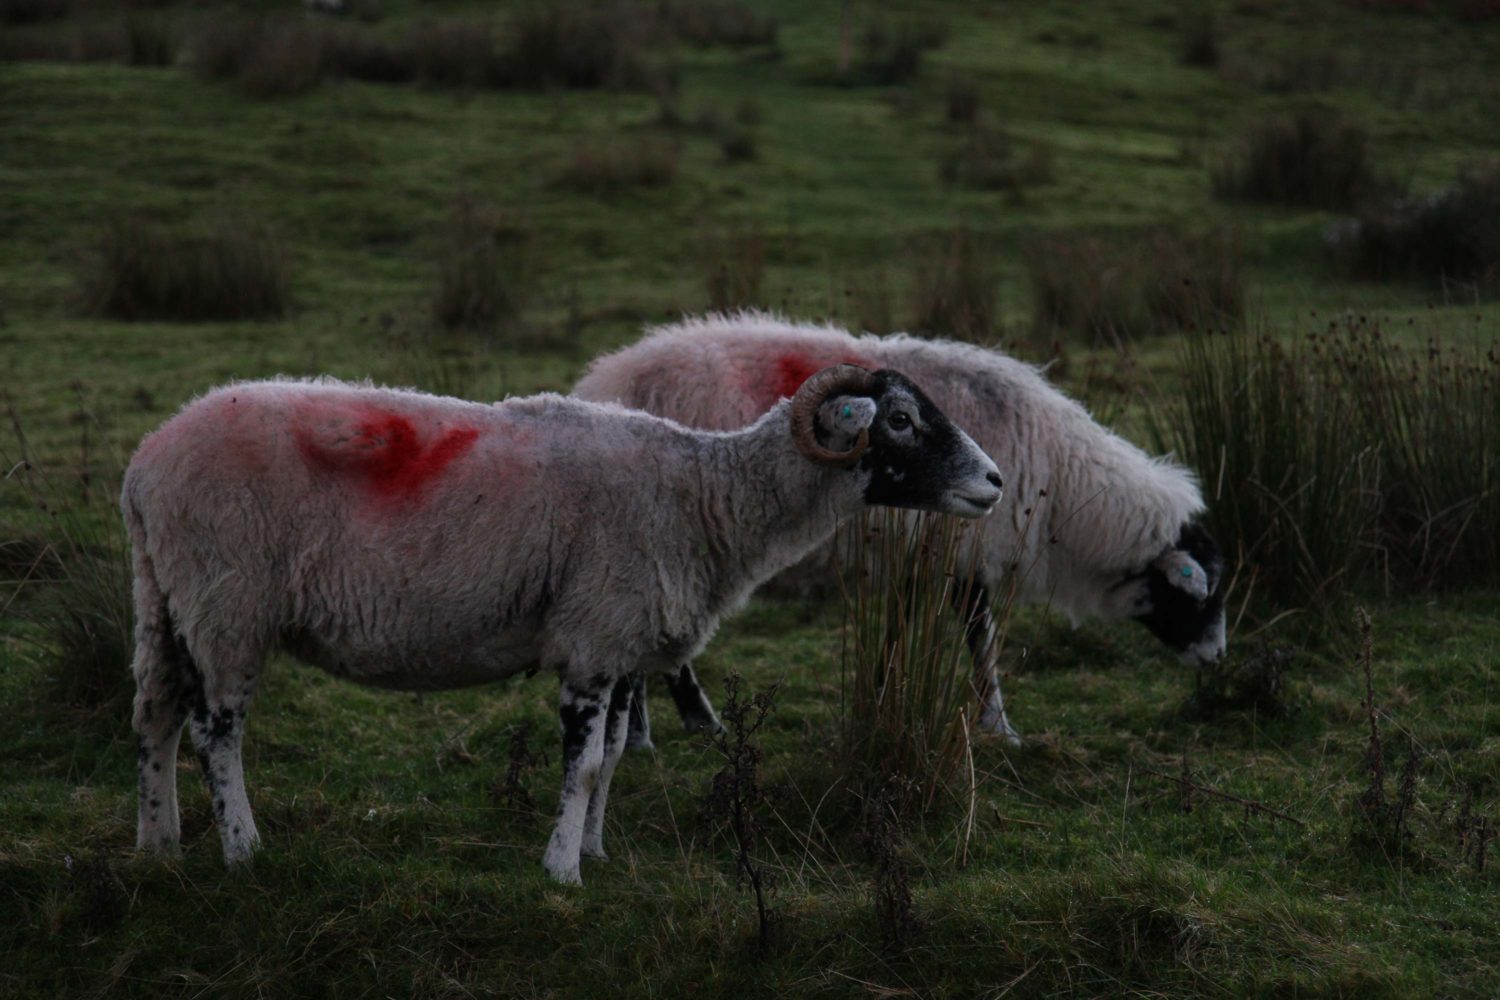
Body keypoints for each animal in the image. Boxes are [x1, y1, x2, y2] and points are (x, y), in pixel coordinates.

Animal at [123, 367, 1002, 881]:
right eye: (898, 420)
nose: (994, 482)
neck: (706, 496)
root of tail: (144, 466)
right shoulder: (591, 637)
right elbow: (580, 768)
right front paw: (562, 874)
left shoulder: (620, 644)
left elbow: (610, 759)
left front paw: (595, 850)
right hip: (229, 601)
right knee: (215, 732)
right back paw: (242, 850)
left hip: (164, 598)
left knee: (154, 716)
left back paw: (158, 844)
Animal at [573, 310, 1230, 743]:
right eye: (1202, 593)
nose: (1216, 659)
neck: (1065, 484)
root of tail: (606, 377)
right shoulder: (967, 545)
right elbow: (980, 636)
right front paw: (999, 725)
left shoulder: (921, 553)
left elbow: (901, 630)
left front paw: (890, 692)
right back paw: (687, 724)